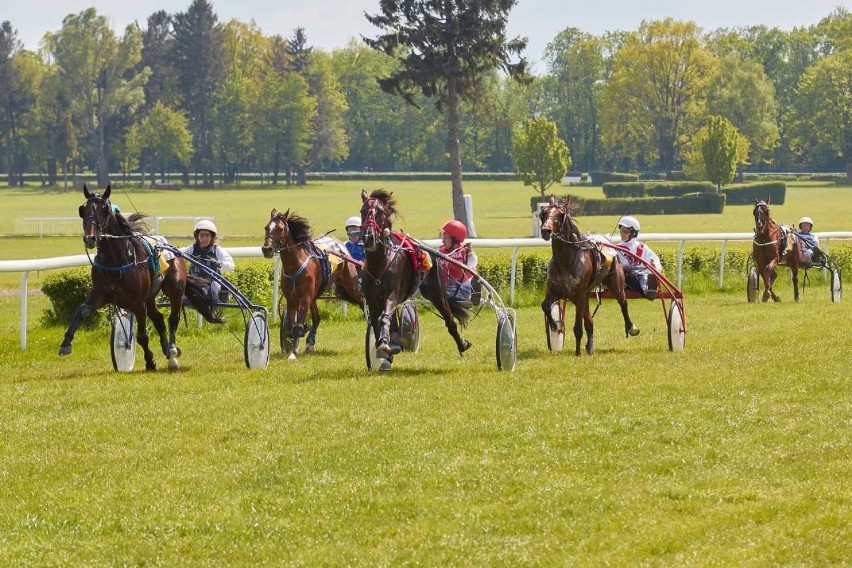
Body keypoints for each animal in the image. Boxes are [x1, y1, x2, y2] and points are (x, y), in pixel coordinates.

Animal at [56, 186, 216, 370]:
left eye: (104, 209)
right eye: (84, 210)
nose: (91, 238)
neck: (117, 261)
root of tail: (173, 249)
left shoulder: (138, 303)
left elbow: (142, 336)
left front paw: (150, 361)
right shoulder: (100, 295)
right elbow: (81, 311)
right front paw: (66, 343)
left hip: (175, 289)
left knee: (172, 320)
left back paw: (172, 354)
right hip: (150, 298)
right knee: (159, 319)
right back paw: (167, 349)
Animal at [262, 209, 362, 360]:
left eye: (280, 229)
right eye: (267, 227)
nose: (266, 249)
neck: (295, 264)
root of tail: (341, 245)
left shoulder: (305, 298)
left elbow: (297, 326)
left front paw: (293, 352)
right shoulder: (292, 299)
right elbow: (290, 326)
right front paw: (300, 334)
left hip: (351, 284)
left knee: (363, 300)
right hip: (314, 296)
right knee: (317, 318)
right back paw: (310, 343)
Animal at [356, 189, 470, 370]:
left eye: (380, 212)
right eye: (362, 211)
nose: (368, 238)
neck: (380, 263)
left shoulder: (391, 295)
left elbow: (385, 317)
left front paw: (384, 345)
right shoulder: (372, 300)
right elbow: (376, 321)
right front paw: (385, 350)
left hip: (435, 291)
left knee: (449, 319)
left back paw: (462, 345)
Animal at [544, 195, 636, 356]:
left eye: (560, 214)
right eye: (543, 212)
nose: (545, 230)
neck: (565, 261)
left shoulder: (579, 294)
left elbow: (577, 327)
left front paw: (577, 353)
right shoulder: (555, 290)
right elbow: (545, 306)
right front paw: (556, 325)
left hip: (616, 284)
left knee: (623, 302)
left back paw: (630, 327)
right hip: (585, 295)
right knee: (589, 321)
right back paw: (590, 346)